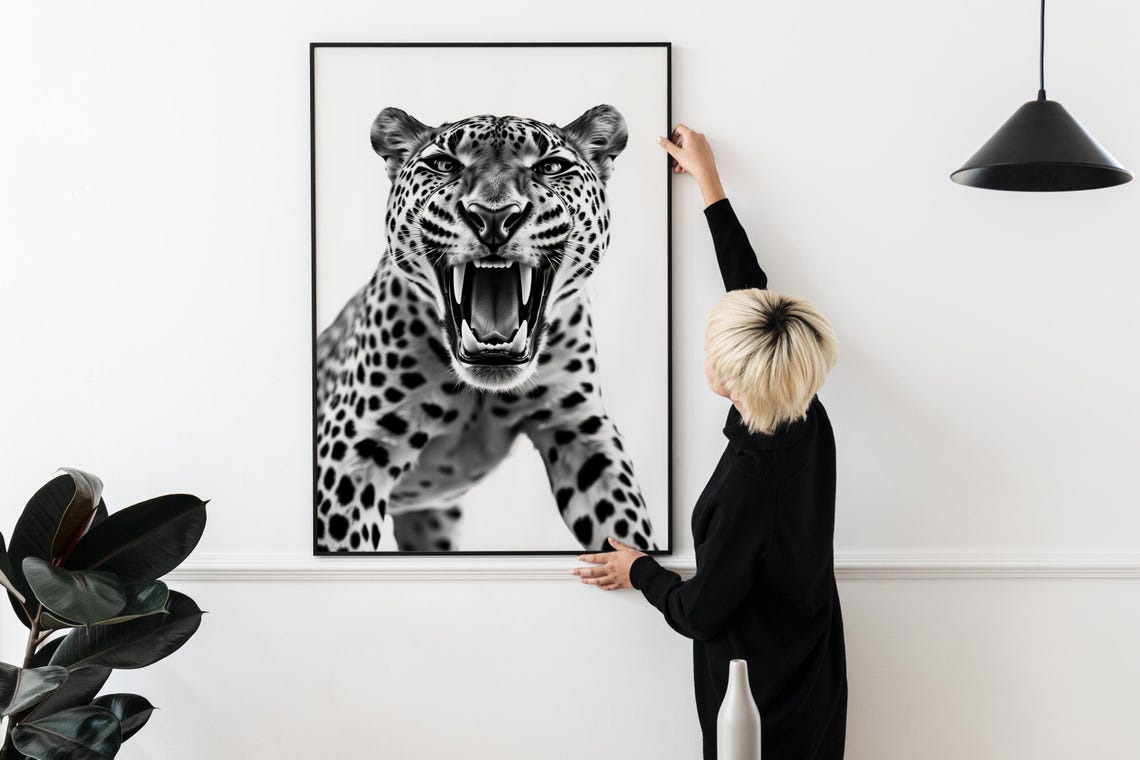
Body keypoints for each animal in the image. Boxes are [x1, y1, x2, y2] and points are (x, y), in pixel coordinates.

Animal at [314, 103, 660, 554]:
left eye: (551, 167)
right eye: (444, 165)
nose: (494, 216)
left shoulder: (581, 429)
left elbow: (625, 528)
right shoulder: (354, 448)